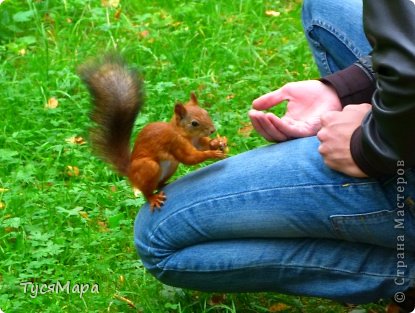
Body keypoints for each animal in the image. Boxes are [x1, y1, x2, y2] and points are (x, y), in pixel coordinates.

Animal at [78, 55, 228, 211]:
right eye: (194, 123)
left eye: (206, 112)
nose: (212, 130)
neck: (185, 135)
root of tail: (130, 173)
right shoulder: (174, 142)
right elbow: (190, 158)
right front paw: (213, 153)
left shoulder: (196, 141)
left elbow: (203, 145)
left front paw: (218, 142)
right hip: (149, 167)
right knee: (146, 190)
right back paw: (152, 198)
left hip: (171, 166)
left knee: (158, 184)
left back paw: (165, 184)